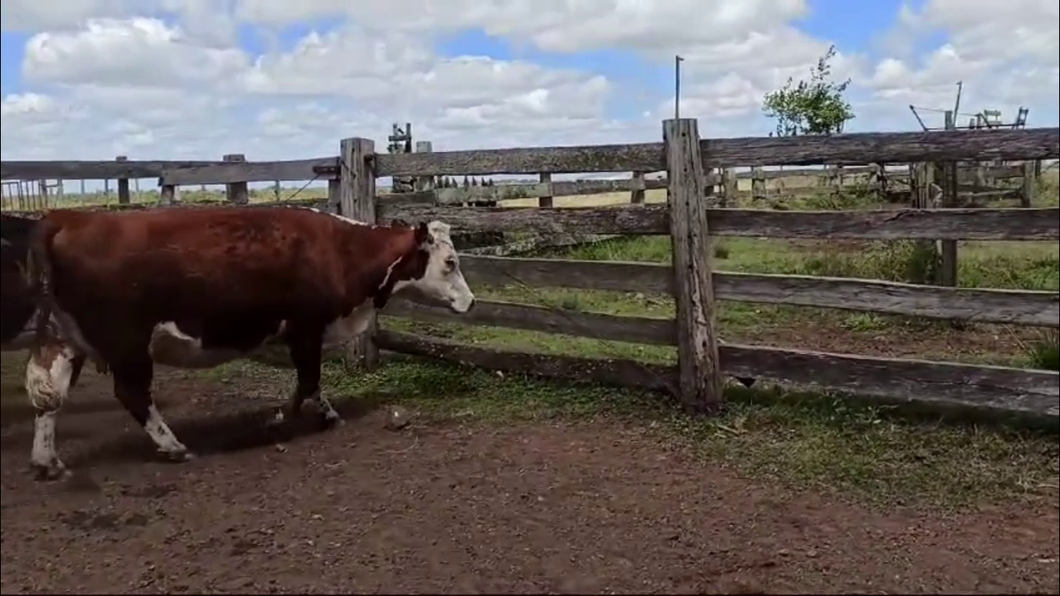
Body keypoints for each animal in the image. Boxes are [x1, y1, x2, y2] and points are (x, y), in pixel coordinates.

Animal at [22, 203, 479, 477]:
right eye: (450, 261)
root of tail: (69, 217)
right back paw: (173, 446)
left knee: (49, 397)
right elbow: (307, 381)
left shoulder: (305, 334)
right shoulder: (306, 328)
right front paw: (277, 420)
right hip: (127, 344)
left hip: (65, 340)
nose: (471, 301)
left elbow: (313, 383)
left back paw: (47, 460)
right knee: (132, 394)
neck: (338, 250)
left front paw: (326, 413)